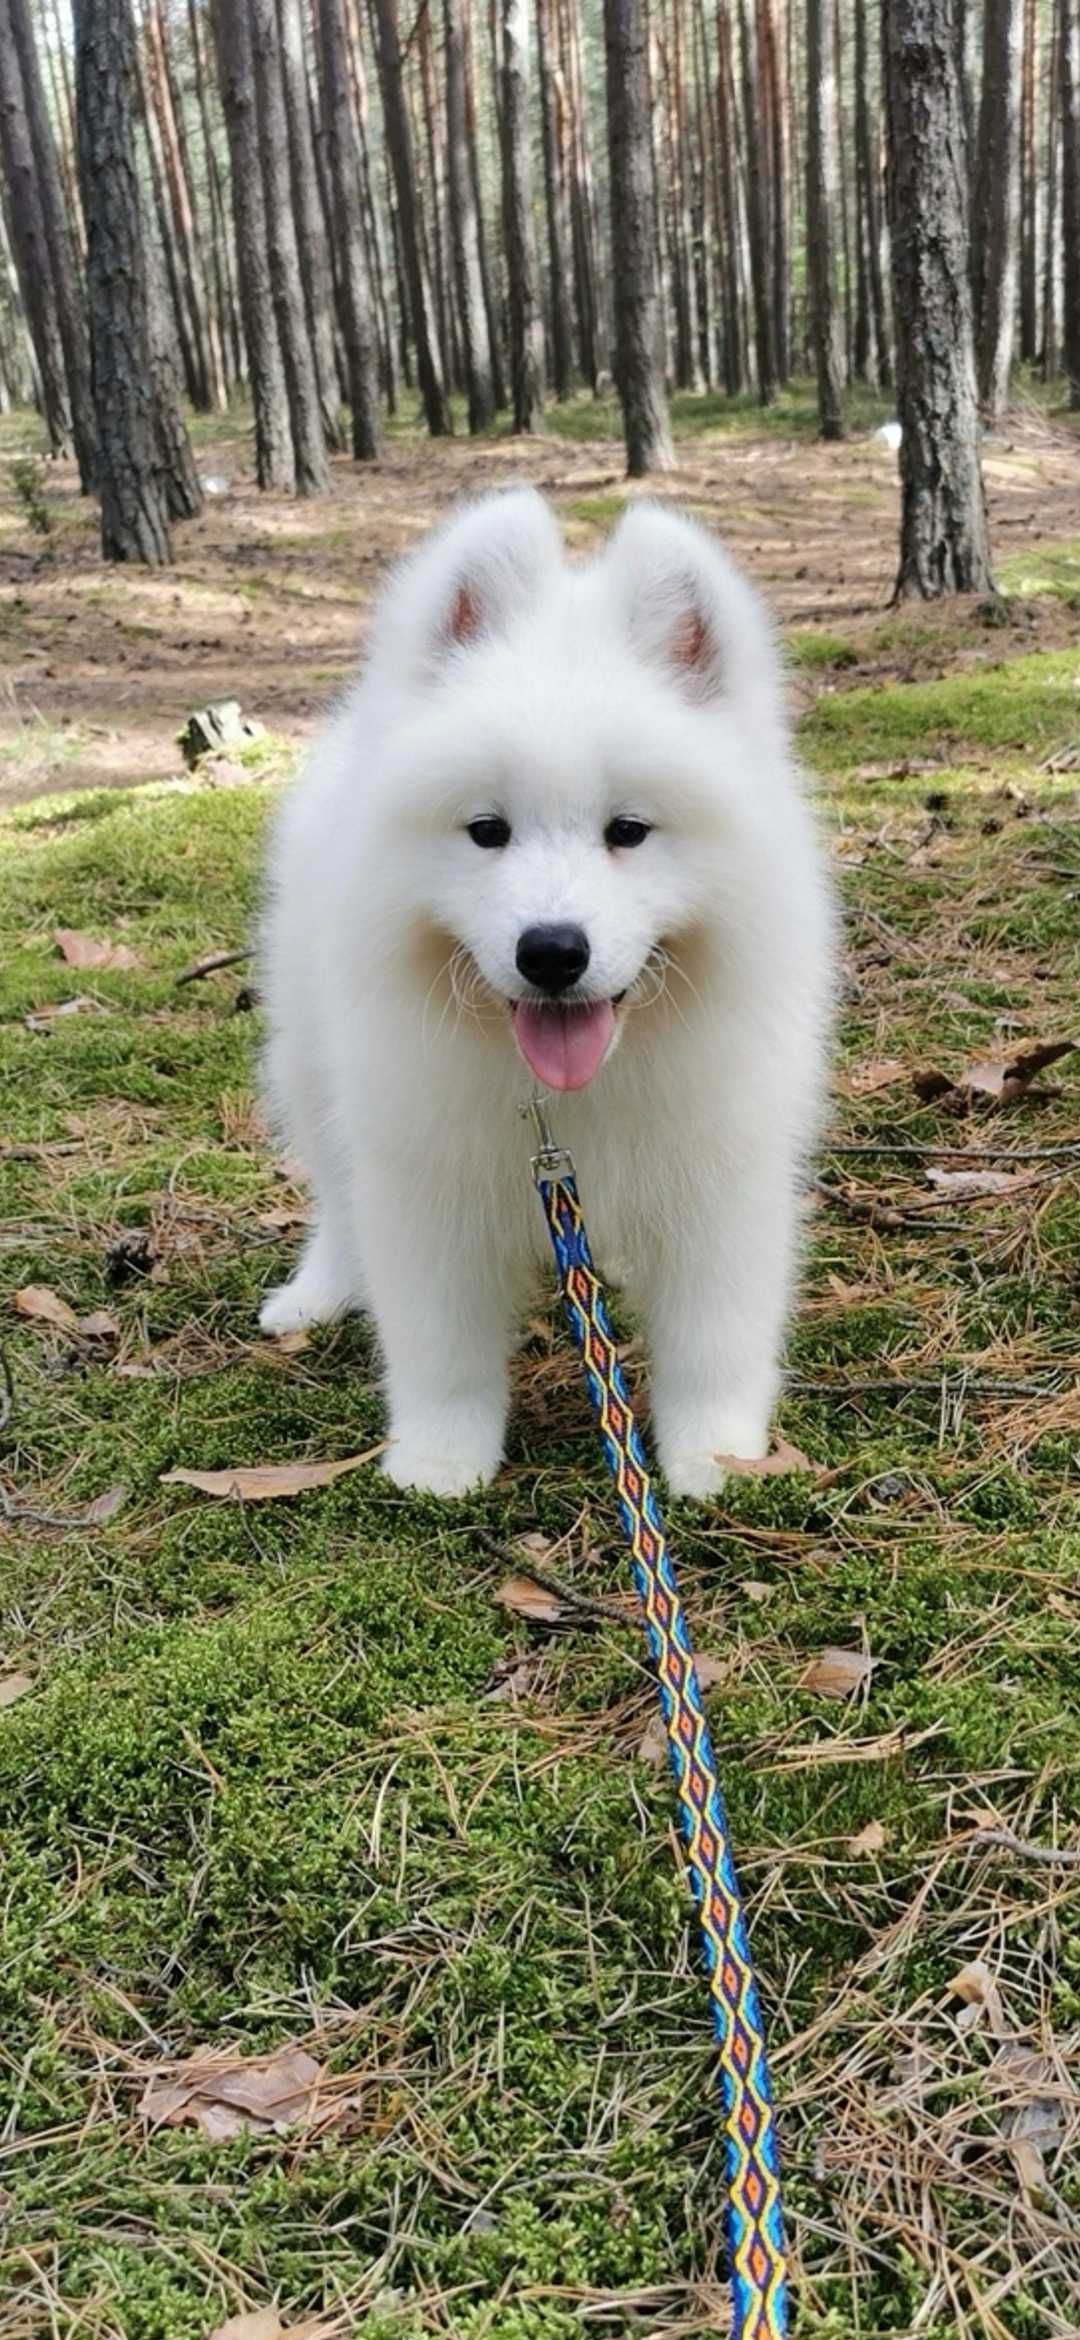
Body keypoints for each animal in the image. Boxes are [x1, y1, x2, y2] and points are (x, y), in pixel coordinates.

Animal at [261, 489, 836, 1497]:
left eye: (629, 830)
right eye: (487, 830)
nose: (553, 952)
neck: (567, 1100)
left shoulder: (722, 1184)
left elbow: (714, 1342)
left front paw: (715, 1458)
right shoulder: (427, 1183)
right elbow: (440, 1348)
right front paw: (440, 1462)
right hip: (311, 1062)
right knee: (333, 1192)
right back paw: (318, 1291)